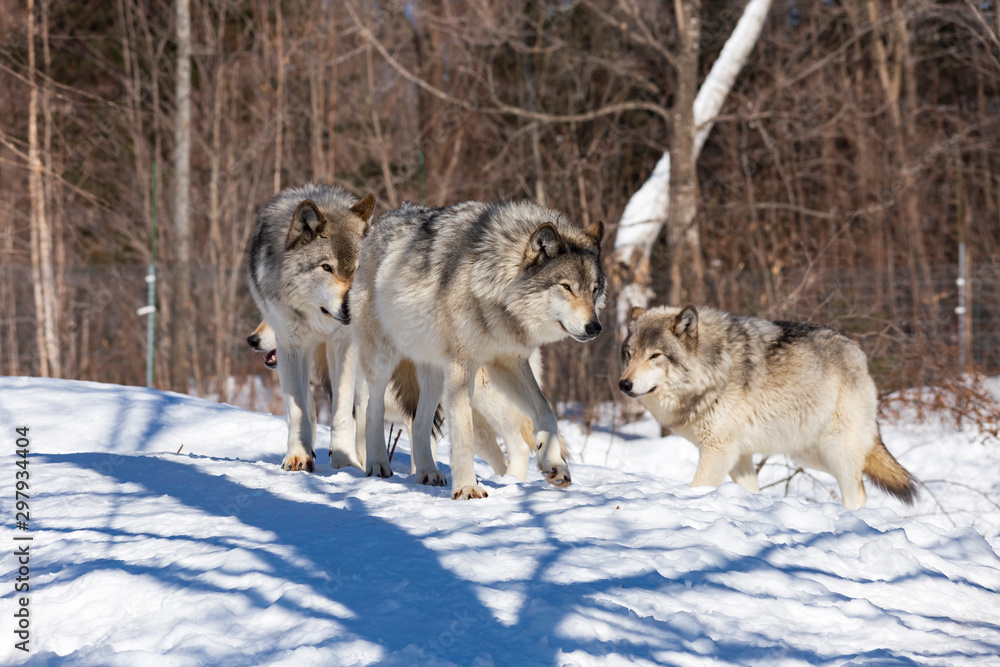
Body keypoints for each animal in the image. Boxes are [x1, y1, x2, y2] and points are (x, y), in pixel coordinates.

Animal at [248, 184, 375, 473]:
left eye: (358, 269)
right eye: (327, 267)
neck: (320, 319)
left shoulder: (344, 346)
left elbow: (342, 412)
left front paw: (345, 461)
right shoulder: (292, 347)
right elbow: (299, 413)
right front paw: (298, 456)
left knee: (362, 414)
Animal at [351, 199, 606, 499]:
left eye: (594, 290)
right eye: (566, 287)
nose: (595, 328)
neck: (491, 281)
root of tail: (378, 225)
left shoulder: (507, 364)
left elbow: (546, 412)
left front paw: (554, 464)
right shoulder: (462, 367)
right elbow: (464, 433)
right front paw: (467, 487)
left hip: (436, 380)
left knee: (420, 425)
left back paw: (428, 472)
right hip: (384, 359)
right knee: (373, 407)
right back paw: (377, 464)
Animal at [618, 305, 918, 509]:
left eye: (655, 356)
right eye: (629, 354)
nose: (624, 384)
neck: (714, 369)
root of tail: (859, 353)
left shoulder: (717, 451)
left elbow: (698, 486)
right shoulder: (738, 456)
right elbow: (752, 491)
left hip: (836, 449)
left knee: (856, 492)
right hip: (809, 455)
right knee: (861, 484)